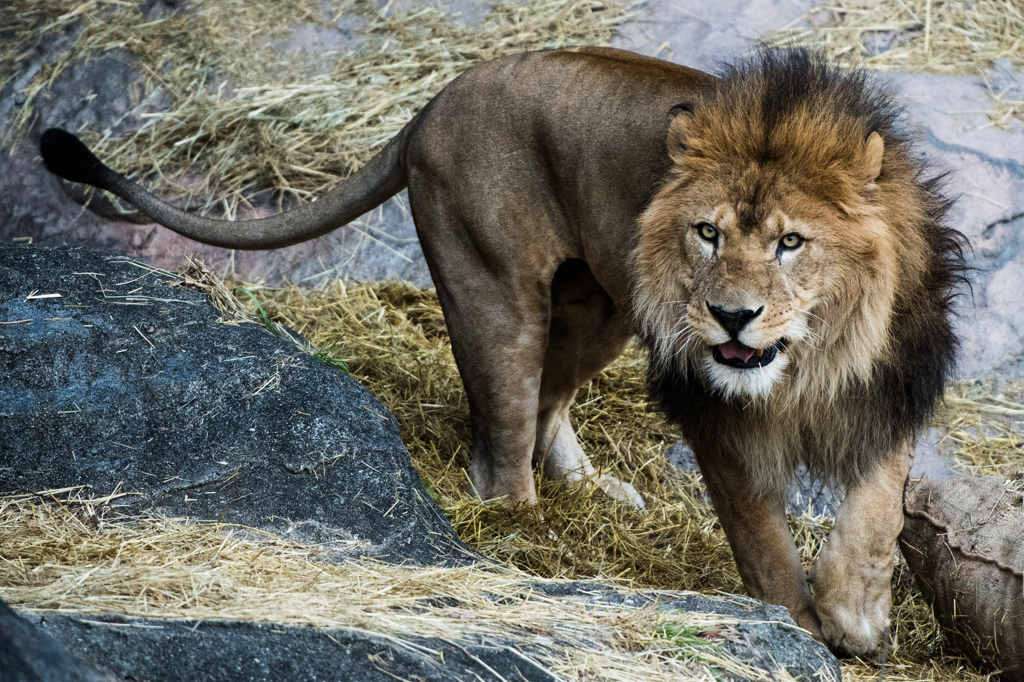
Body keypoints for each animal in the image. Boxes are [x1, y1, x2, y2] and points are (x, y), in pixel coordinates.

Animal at [37, 47, 966, 655]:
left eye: (790, 243)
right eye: (708, 234)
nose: (730, 317)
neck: (811, 357)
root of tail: (431, 105)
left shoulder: (892, 388)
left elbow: (877, 514)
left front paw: (857, 616)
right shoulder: (711, 412)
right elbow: (763, 541)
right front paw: (800, 628)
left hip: (601, 304)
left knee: (550, 398)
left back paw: (590, 489)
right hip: (496, 292)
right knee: (502, 442)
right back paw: (526, 532)